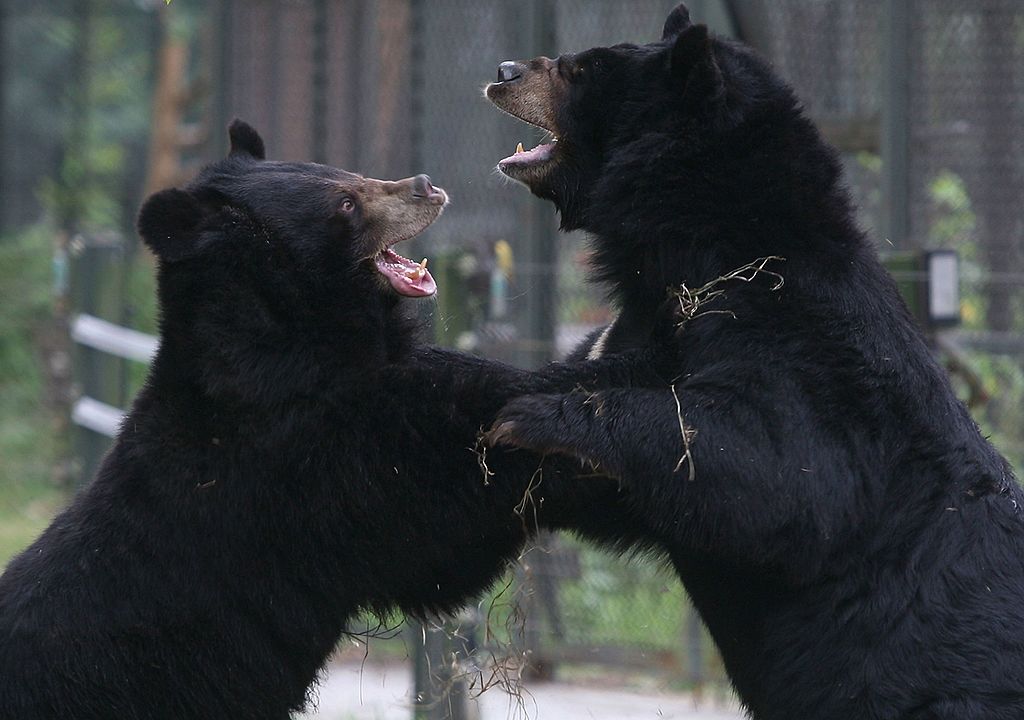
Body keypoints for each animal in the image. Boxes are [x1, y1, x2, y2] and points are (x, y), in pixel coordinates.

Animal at [0, 122, 647, 720]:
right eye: (346, 203)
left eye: (346, 173)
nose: (426, 185)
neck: (294, 327)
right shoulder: (310, 454)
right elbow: (439, 495)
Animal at [483, 5, 1024, 720]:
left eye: (579, 70)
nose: (503, 72)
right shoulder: (639, 335)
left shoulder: (810, 349)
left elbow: (774, 469)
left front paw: (532, 416)